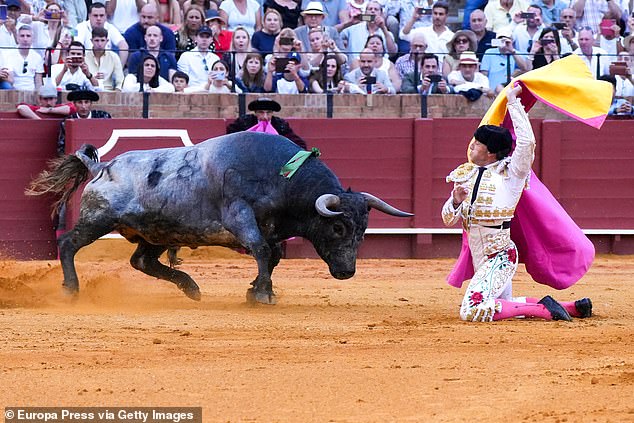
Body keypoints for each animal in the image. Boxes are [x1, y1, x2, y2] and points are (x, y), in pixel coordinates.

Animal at [25, 132, 410, 304]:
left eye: (364, 230)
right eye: (339, 226)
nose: (347, 272)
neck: (282, 177)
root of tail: (101, 167)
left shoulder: (272, 231)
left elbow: (272, 256)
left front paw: (257, 289)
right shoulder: (240, 217)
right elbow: (261, 250)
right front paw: (263, 295)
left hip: (157, 233)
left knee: (142, 261)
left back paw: (190, 287)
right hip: (98, 220)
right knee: (68, 243)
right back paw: (71, 289)